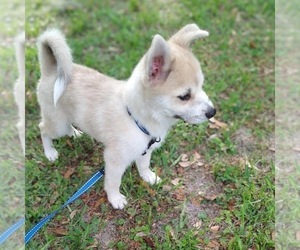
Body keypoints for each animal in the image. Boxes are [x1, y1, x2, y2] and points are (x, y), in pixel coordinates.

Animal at [37, 24, 216, 209]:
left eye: (201, 86)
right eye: (184, 96)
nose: (213, 112)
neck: (135, 117)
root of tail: (52, 70)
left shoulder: (145, 150)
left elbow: (144, 165)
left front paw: (148, 176)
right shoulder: (114, 160)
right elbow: (113, 182)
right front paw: (115, 199)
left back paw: (74, 133)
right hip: (57, 124)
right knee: (43, 129)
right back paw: (50, 152)